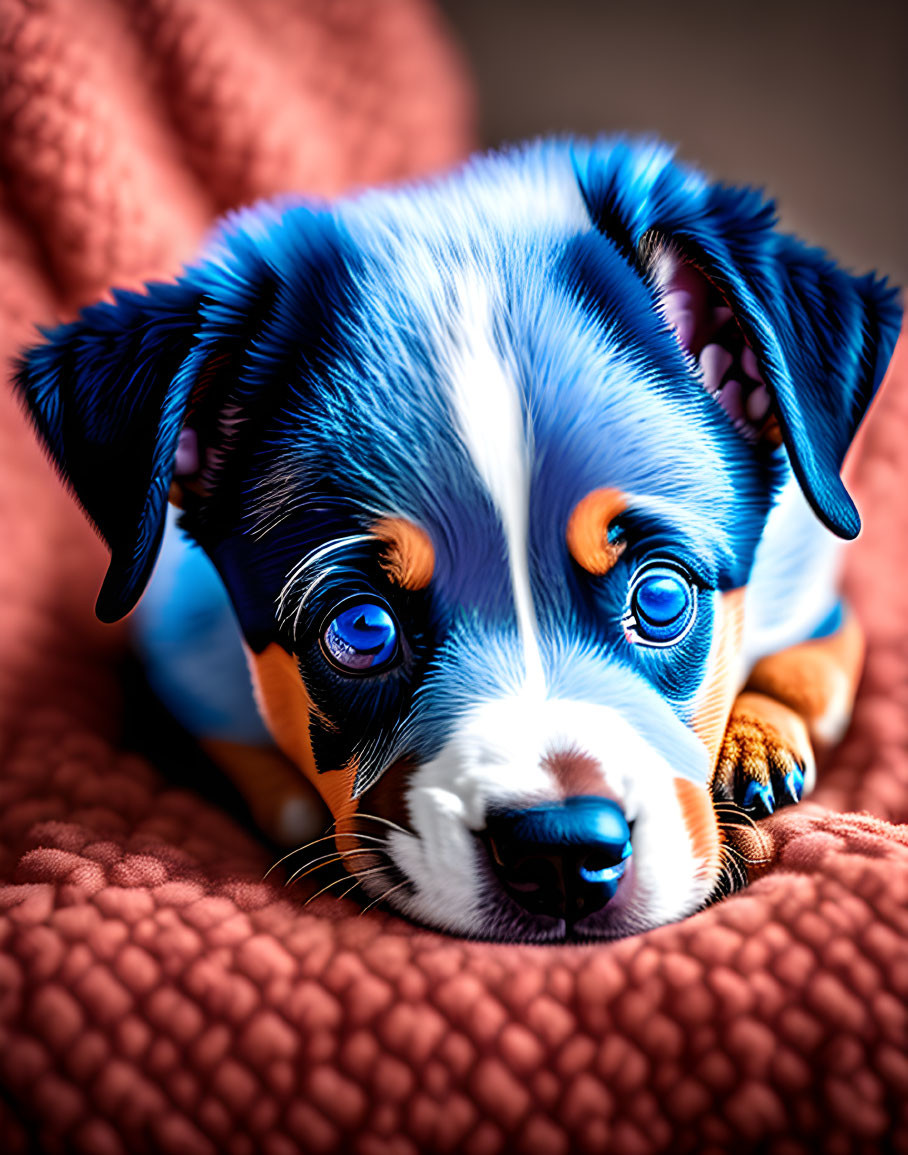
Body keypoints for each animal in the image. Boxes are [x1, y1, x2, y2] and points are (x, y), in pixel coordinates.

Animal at [15, 139, 896, 942]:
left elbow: (817, 660)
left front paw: (756, 743)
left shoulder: (808, 591)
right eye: (360, 628)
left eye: (662, 596)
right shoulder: (180, 652)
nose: (562, 853)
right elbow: (277, 786)